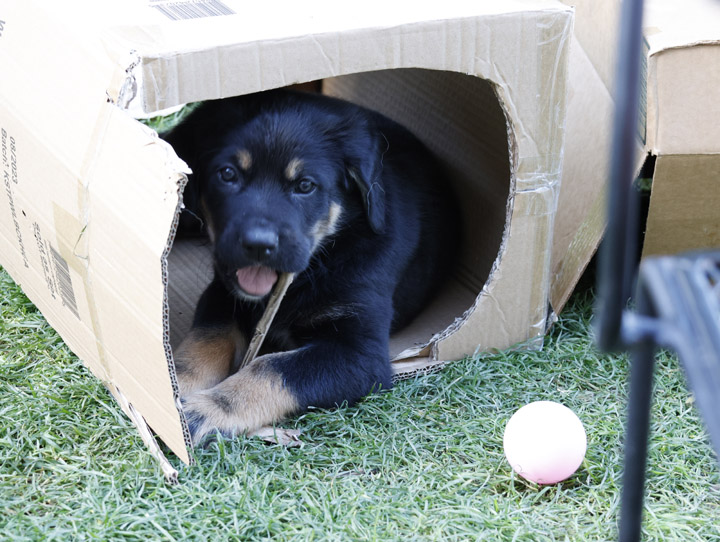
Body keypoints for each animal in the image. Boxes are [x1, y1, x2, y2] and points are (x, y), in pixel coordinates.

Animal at [162, 90, 462, 446]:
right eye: (227, 174)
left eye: (305, 186)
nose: (258, 245)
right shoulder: (222, 291)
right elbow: (206, 339)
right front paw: (174, 384)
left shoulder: (360, 354)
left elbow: (269, 368)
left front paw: (207, 410)